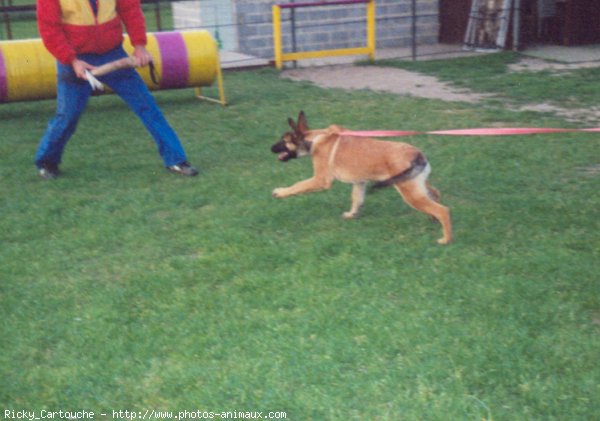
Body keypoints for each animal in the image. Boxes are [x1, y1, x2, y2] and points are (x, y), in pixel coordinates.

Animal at [270, 110, 452, 244]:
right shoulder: (359, 182)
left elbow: (298, 185)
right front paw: (352, 215)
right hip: (418, 186)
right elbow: (356, 199)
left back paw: (446, 239)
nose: (270, 148)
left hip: (410, 193)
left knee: (442, 210)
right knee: (435, 195)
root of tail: (417, 155)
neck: (314, 139)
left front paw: (281, 192)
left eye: (283, 141)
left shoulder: (320, 180)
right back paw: (433, 219)